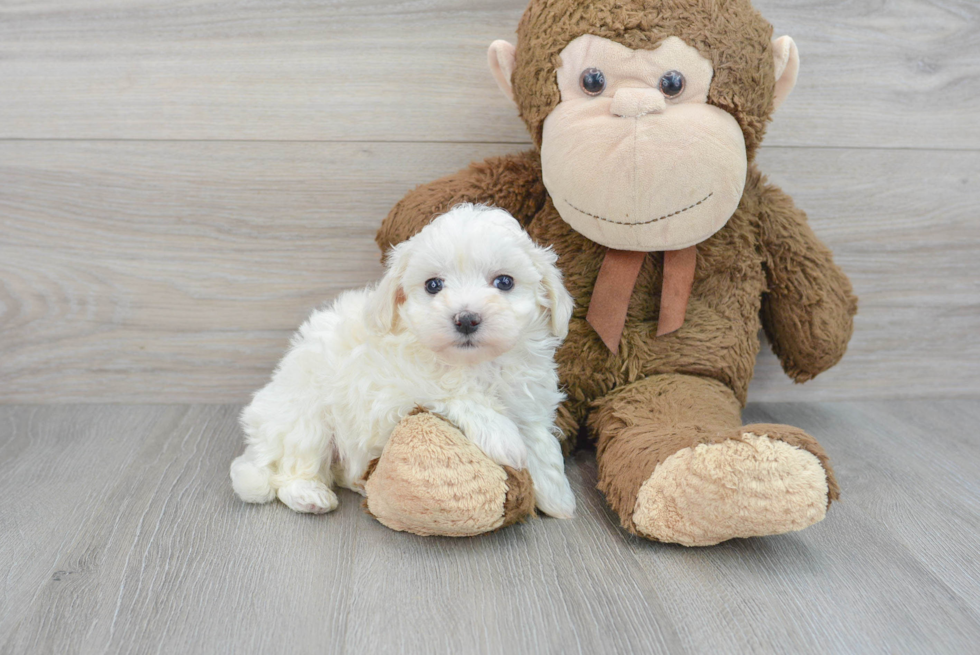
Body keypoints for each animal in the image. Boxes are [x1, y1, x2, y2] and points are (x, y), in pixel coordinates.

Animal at [233, 202, 580, 520]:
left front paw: (558, 496)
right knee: (289, 468)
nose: (466, 319)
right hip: (304, 417)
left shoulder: (528, 399)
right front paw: (503, 438)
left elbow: (540, 440)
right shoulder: (389, 394)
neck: (473, 363)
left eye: (505, 282)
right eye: (433, 285)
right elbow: (454, 394)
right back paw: (309, 494)